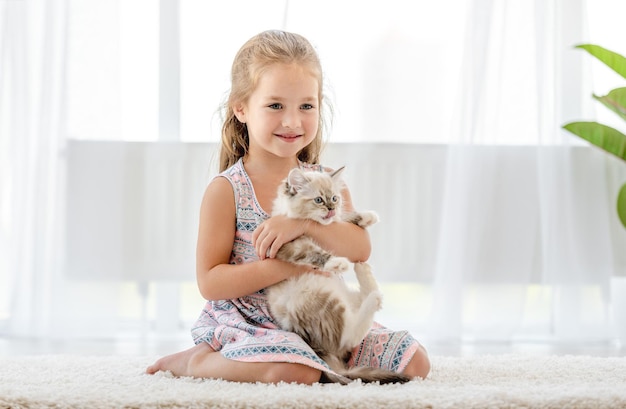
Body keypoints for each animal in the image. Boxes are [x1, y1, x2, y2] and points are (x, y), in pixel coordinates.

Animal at [264, 165, 410, 382]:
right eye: (318, 200)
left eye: (334, 198)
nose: (331, 208)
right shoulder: (287, 245)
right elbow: (313, 252)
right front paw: (337, 262)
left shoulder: (329, 224)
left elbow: (340, 220)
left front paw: (367, 216)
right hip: (322, 299)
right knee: (348, 338)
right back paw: (370, 292)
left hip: (344, 294)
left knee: (364, 300)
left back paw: (364, 270)